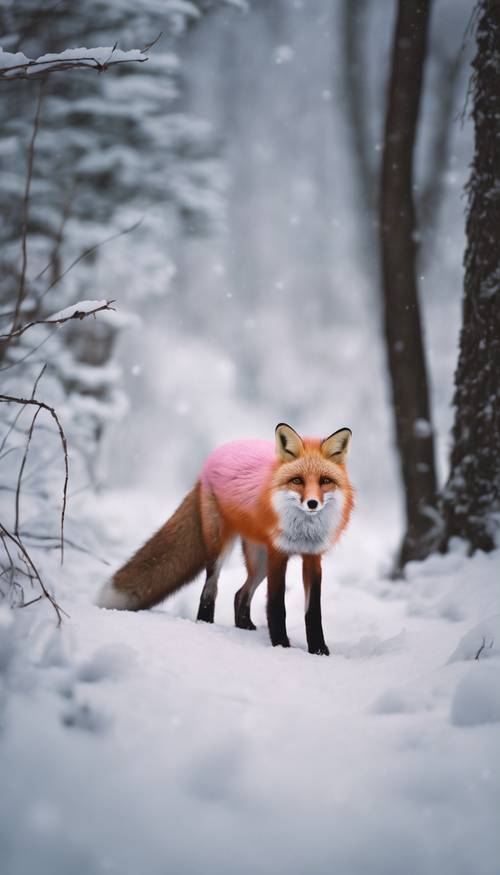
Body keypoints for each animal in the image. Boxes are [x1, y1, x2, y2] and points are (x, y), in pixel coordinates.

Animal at [97, 424, 354, 656]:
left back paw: (244, 627)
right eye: (298, 481)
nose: (312, 503)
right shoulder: (277, 554)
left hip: (258, 562)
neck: (303, 531)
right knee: (210, 589)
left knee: (240, 593)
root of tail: (212, 459)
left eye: (324, 481)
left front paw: (319, 650)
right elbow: (276, 605)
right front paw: (281, 645)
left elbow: (314, 612)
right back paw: (205, 625)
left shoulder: (313, 557)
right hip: (221, 549)